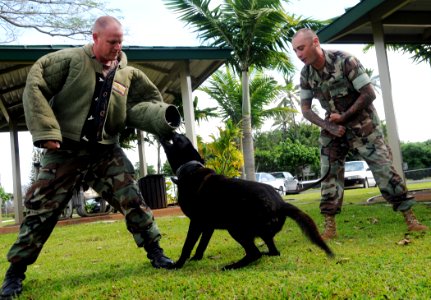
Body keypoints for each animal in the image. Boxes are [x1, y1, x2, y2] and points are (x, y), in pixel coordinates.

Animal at [161, 133, 334, 270]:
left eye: (180, 139)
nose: (174, 131)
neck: (190, 168)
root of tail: (281, 203)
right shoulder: (208, 226)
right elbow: (202, 245)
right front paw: (196, 258)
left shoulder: (196, 222)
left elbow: (187, 245)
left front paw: (178, 265)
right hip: (261, 234)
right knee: (273, 252)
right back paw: (264, 254)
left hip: (236, 228)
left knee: (254, 254)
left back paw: (232, 266)